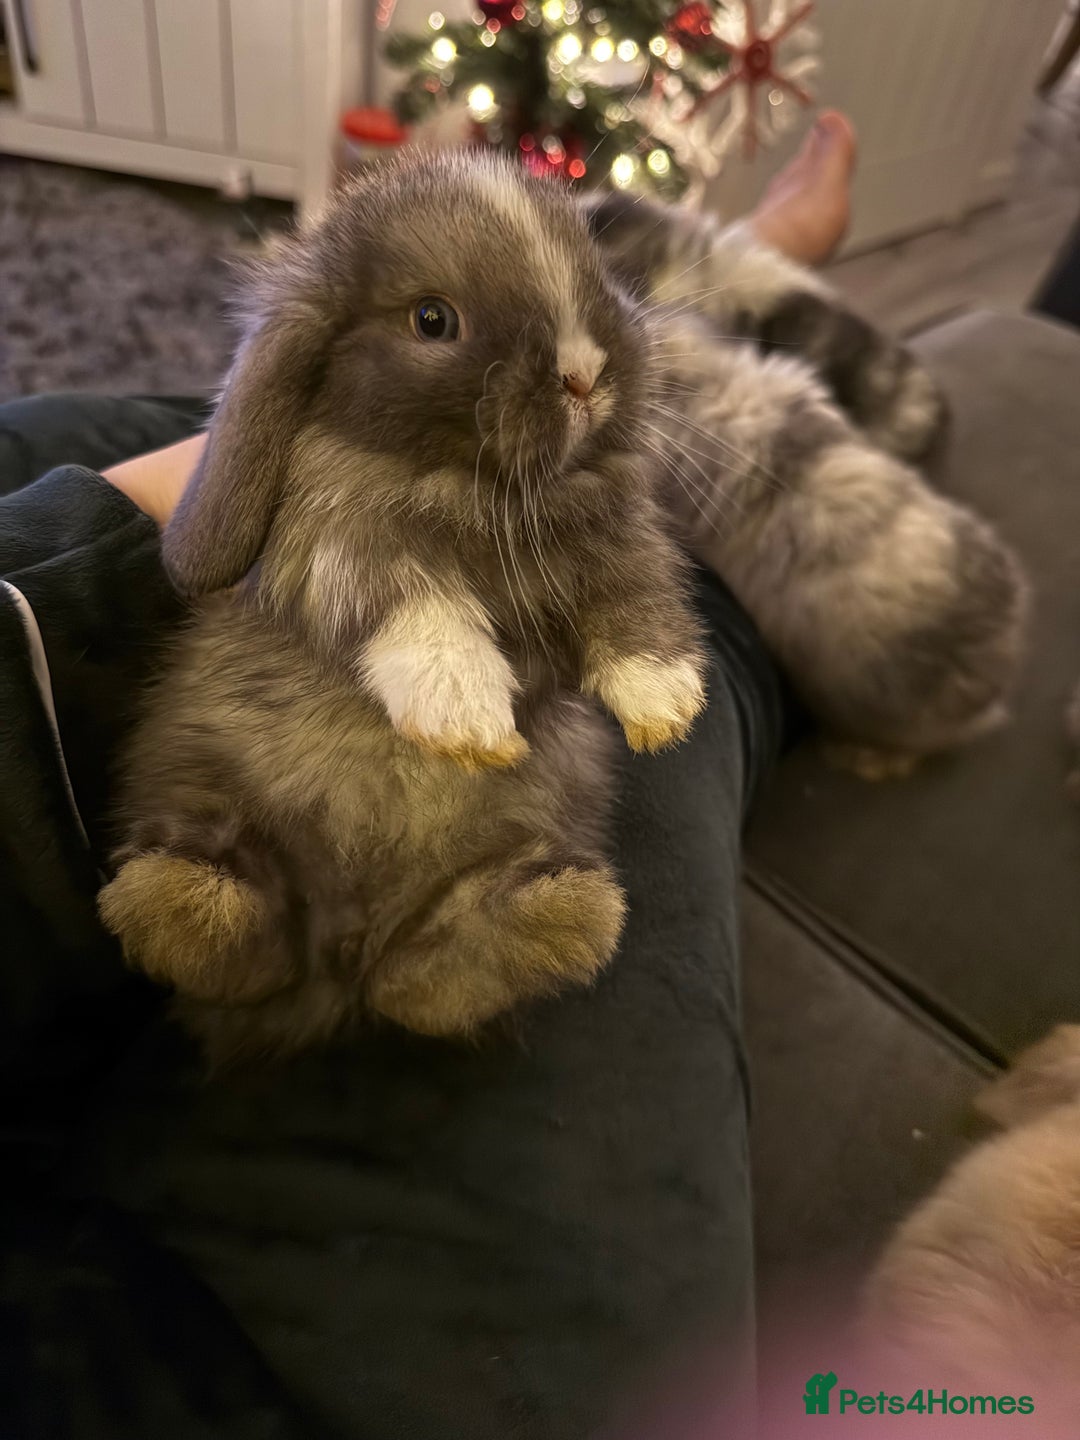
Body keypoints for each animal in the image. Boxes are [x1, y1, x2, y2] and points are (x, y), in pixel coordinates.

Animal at [97, 151, 707, 1065]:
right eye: (432, 319)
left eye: (598, 271)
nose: (585, 375)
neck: (474, 485)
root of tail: (349, 957)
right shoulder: (342, 547)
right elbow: (419, 612)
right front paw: (468, 722)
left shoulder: (617, 533)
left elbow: (635, 590)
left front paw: (664, 703)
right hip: (205, 825)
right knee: (208, 927)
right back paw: (194, 903)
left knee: (432, 985)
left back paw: (548, 918)